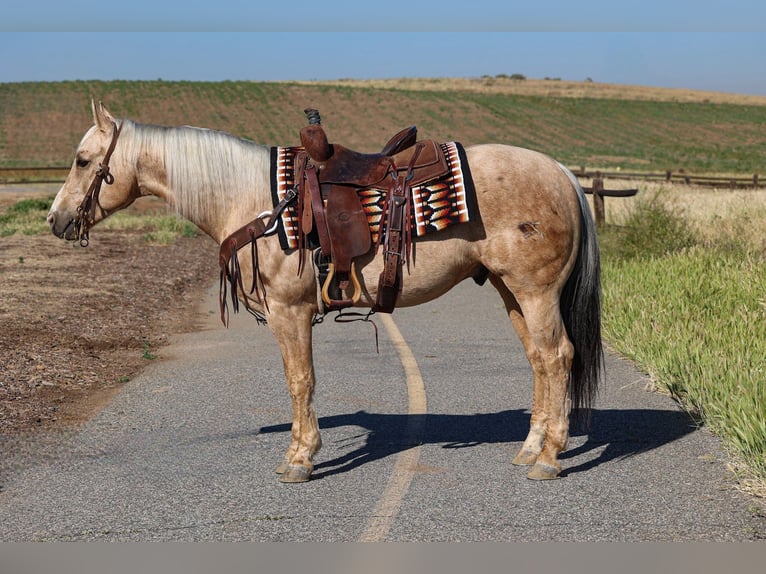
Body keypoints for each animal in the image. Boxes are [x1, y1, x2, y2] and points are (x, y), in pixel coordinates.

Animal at [47, 101, 603, 483]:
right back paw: (530, 446)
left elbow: (300, 381)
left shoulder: (288, 312)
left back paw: (550, 457)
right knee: (538, 360)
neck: (257, 200)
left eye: (82, 161)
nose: (55, 220)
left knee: (557, 356)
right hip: (513, 292)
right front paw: (301, 453)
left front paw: (299, 459)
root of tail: (562, 173)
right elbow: (300, 381)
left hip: (536, 292)